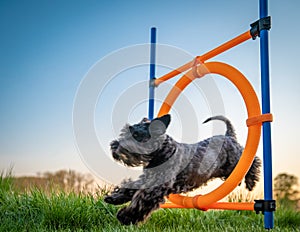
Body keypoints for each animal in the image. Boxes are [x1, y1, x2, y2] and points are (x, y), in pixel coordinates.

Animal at [105, 114, 260, 225]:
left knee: (253, 161)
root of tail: (228, 136)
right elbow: (129, 188)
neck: (164, 152)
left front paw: (126, 216)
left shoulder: (156, 188)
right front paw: (114, 198)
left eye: (136, 135)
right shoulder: (147, 180)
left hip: (235, 161)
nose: (114, 146)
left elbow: (141, 201)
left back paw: (251, 182)